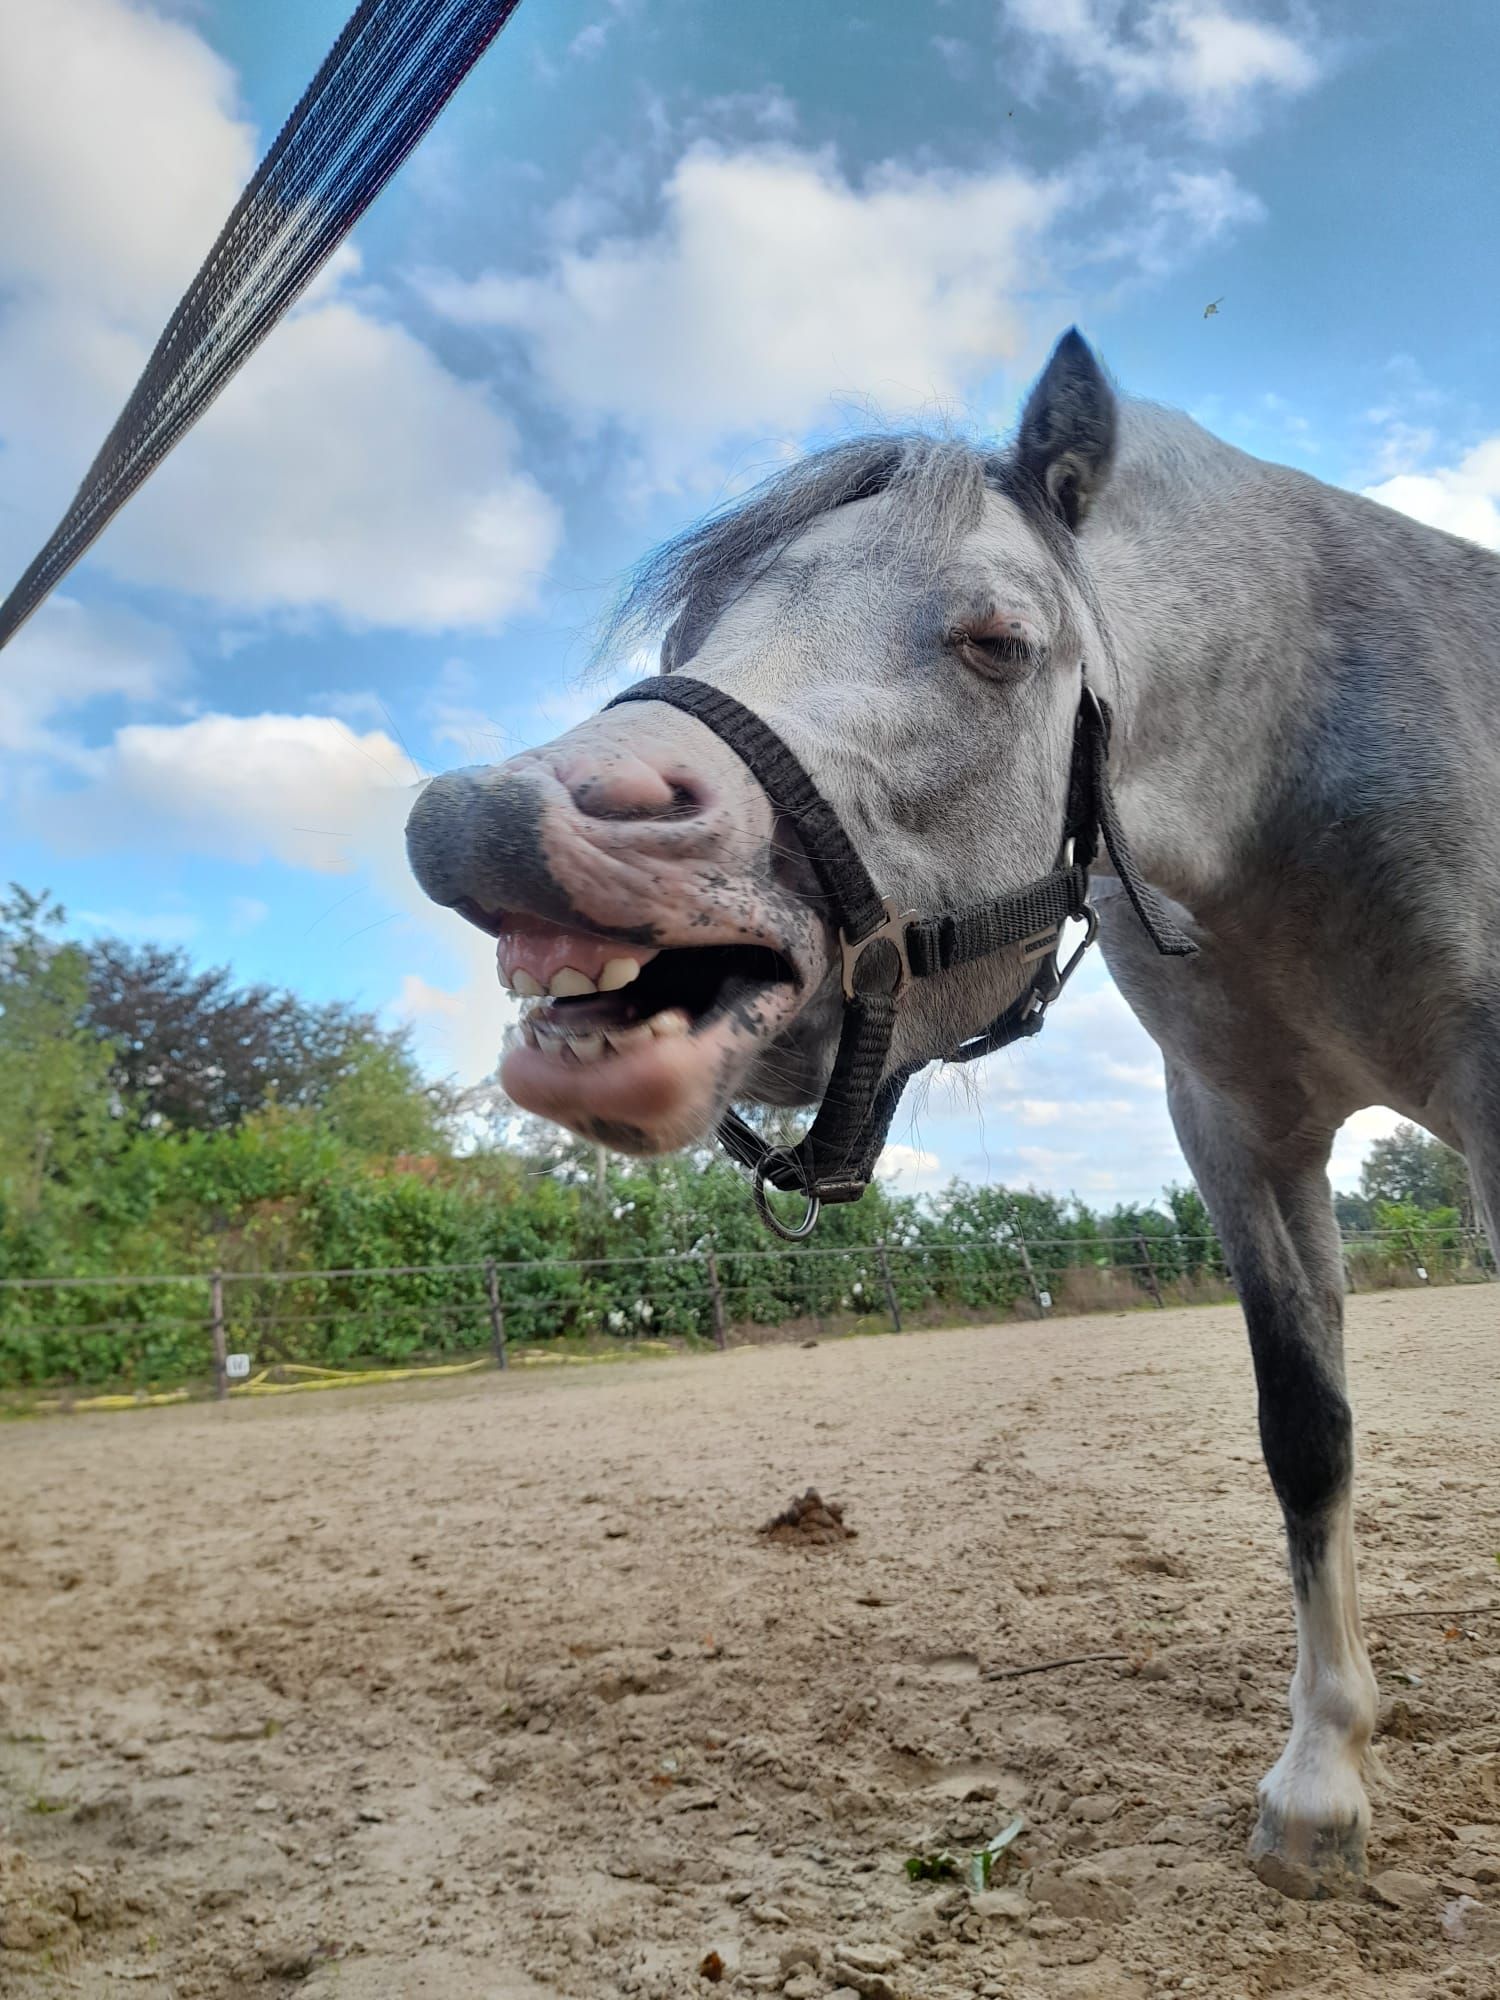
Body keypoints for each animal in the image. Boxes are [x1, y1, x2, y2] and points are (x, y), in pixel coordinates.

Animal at [406, 329, 1500, 1898]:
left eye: (996, 643)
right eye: (688, 646)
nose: (492, 824)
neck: (1303, 759)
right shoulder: (1240, 1131)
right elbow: (1308, 1433)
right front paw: (1322, 1780)